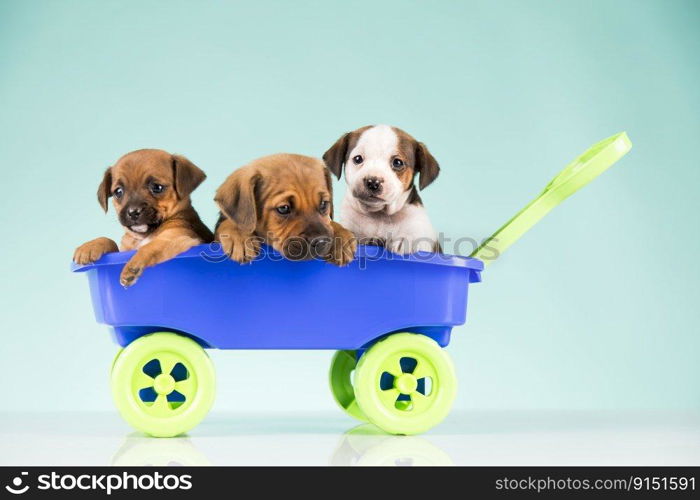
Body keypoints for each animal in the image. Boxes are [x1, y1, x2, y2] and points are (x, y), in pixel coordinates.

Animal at [73, 149, 213, 286]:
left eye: (157, 187)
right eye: (118, 192)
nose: (133, 212)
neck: (143, 236)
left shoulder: (177, 238)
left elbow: (151, 246)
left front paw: (133, 265)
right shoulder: (122, 251)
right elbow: (109, 241)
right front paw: (90, 246)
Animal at [213, 153, 356, 266]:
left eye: (323, 204)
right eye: (283, 208)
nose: (321, 241)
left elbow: (331, 224)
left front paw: (342, 239)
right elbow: (232, 223)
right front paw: (241, 237)